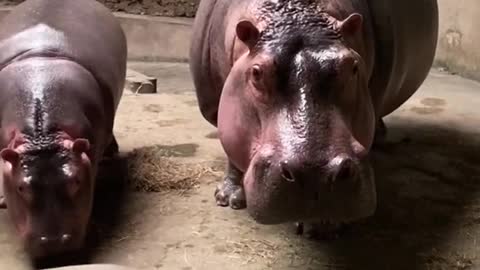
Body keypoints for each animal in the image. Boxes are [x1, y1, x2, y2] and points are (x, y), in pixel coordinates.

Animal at [189, 0, 436, 228]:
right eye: (257, 72)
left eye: (353, 66)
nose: (316, 175)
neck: (296, 15)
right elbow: (231, 149)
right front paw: (228, 198)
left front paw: (319, 225)